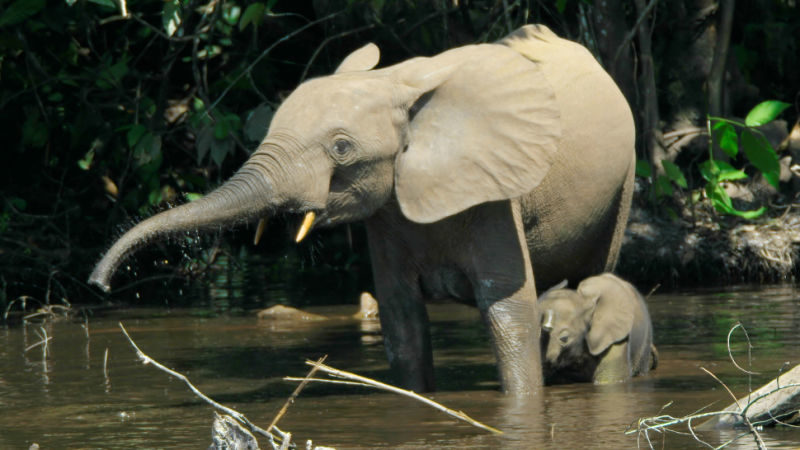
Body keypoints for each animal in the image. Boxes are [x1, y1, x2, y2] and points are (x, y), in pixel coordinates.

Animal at [88, 25, 636, 396]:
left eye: (342, 148)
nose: (99, 285)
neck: (396, 83)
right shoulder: (388, 213)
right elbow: (402, 322)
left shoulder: (494, 194)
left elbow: (508, 312)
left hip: (624, 182)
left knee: (593, 275)